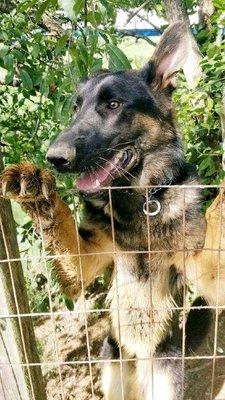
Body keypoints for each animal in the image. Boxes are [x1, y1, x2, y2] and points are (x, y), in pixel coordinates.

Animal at [1, 22, 225, 400]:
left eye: (113, 104)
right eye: (75, 109)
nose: (54, 158)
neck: (142, 202)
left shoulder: (205, 273)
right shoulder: (84, 262)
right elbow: (61, 225)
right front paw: (37, 189)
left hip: (164, 377)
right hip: (113, 366)